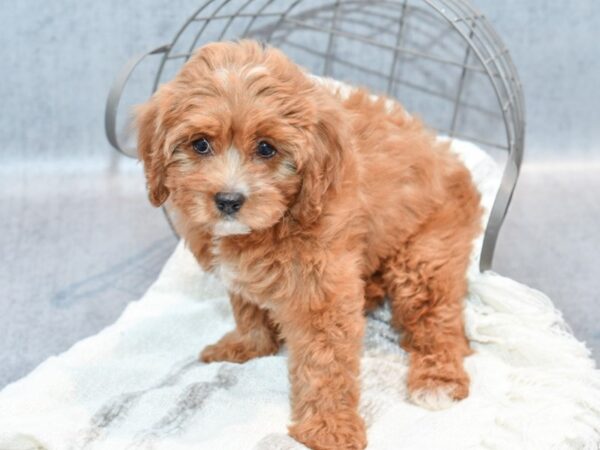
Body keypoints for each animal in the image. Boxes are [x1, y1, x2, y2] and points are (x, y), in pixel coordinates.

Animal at [137, 39, 482, 450]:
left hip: (425, 254)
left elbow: (325, 361)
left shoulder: (323, 291)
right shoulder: (244, 278)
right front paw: (248, 346)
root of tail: (454, 160)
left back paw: (437, 380)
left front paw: (329, 427)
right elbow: (247, 310)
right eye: (200, 144)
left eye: (266, 148)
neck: (276, 220)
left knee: (440, 323)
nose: (228, 200)